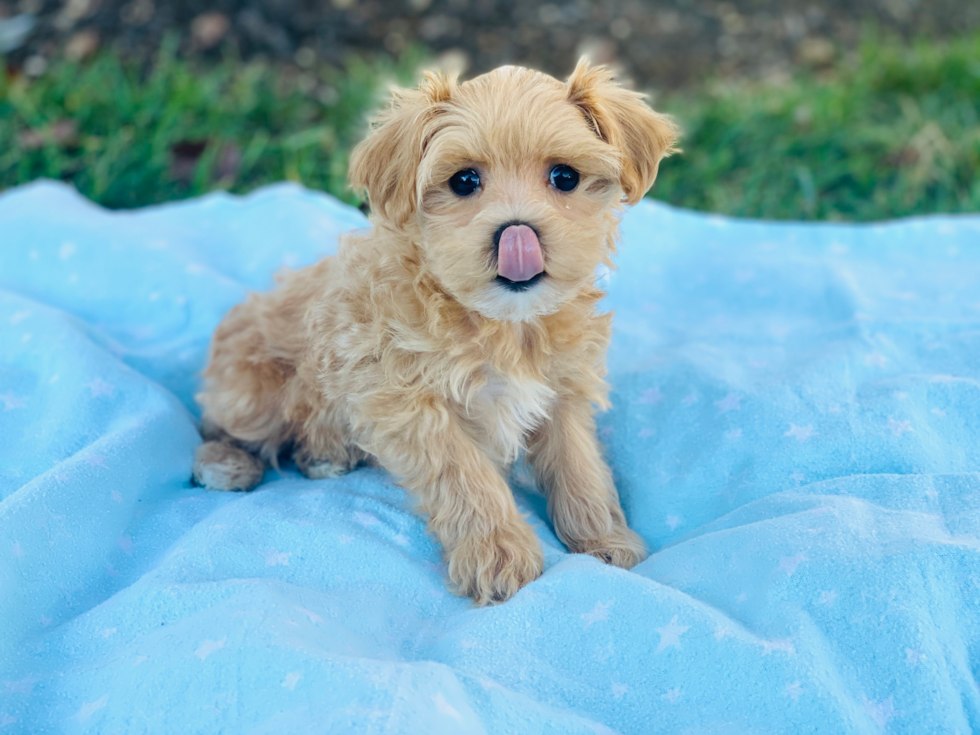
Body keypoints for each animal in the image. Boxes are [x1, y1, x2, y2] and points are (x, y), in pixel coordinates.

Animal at [195, 60, 676, 608]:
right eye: (464, 180)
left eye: (564, 177)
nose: (517, 234)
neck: (505, 324)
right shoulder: (409, 404)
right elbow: (466, 478)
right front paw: (498, 552)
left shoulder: (563, 389)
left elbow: (580, 465)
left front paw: (601, 537)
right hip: (254, 394)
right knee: (216, 426)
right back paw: (228, 463)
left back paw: (324, 455)